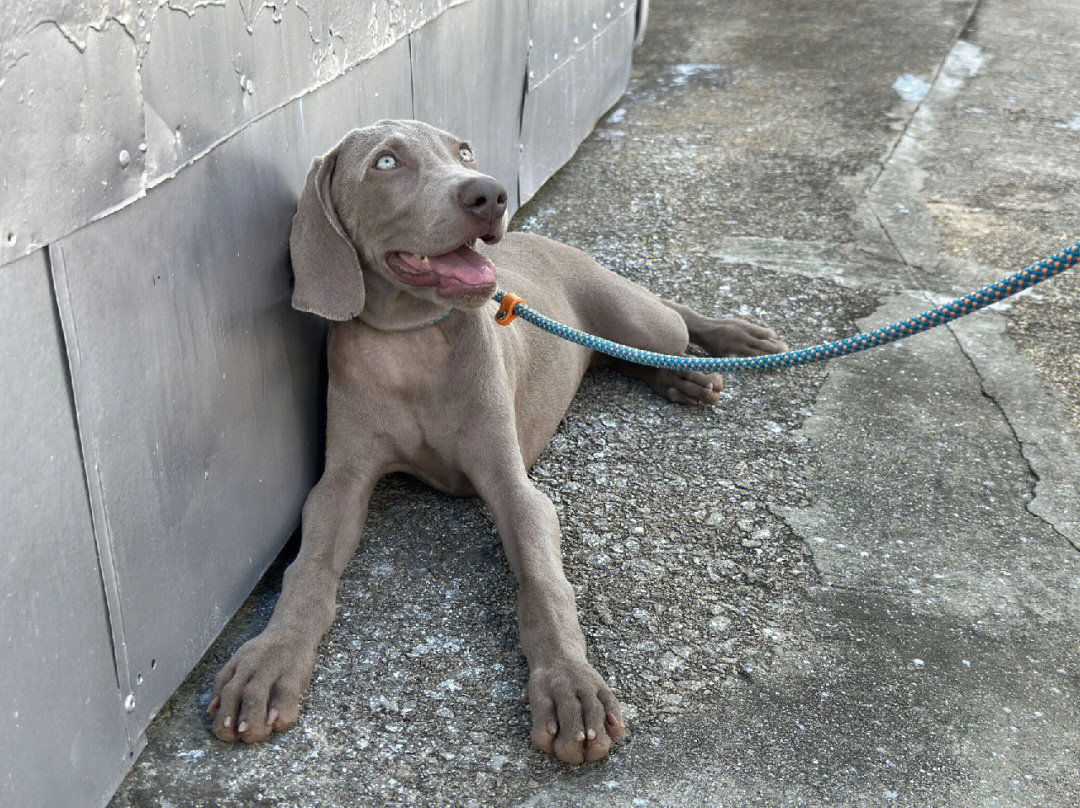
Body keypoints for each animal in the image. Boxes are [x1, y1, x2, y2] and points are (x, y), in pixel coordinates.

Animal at [208, 118, 786, 764]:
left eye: (463, 150)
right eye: (386, 162)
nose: (490, 194)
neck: (412, 341)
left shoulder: (514, 486)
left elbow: (543, 582)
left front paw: (570, 685)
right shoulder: (340, 483)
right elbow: (306, 572)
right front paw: (268, 660)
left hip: (640, 318)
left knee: (672, 316)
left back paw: (733, 339)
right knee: (627, 353)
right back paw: (684, 377)